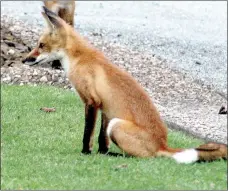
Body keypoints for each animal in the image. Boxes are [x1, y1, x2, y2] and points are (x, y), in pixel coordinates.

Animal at [21, 6, 227, 163]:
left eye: (40, 45)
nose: (24, 60)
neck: (79, 59)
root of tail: (163, 145)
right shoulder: (105, 107)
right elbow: (101, 138)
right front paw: (102, 153)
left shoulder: (91, 101)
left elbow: (88, 134)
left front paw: (85, 152)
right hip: (114, 121)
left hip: (117, 125)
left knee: (146, 157)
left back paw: (120, 156)